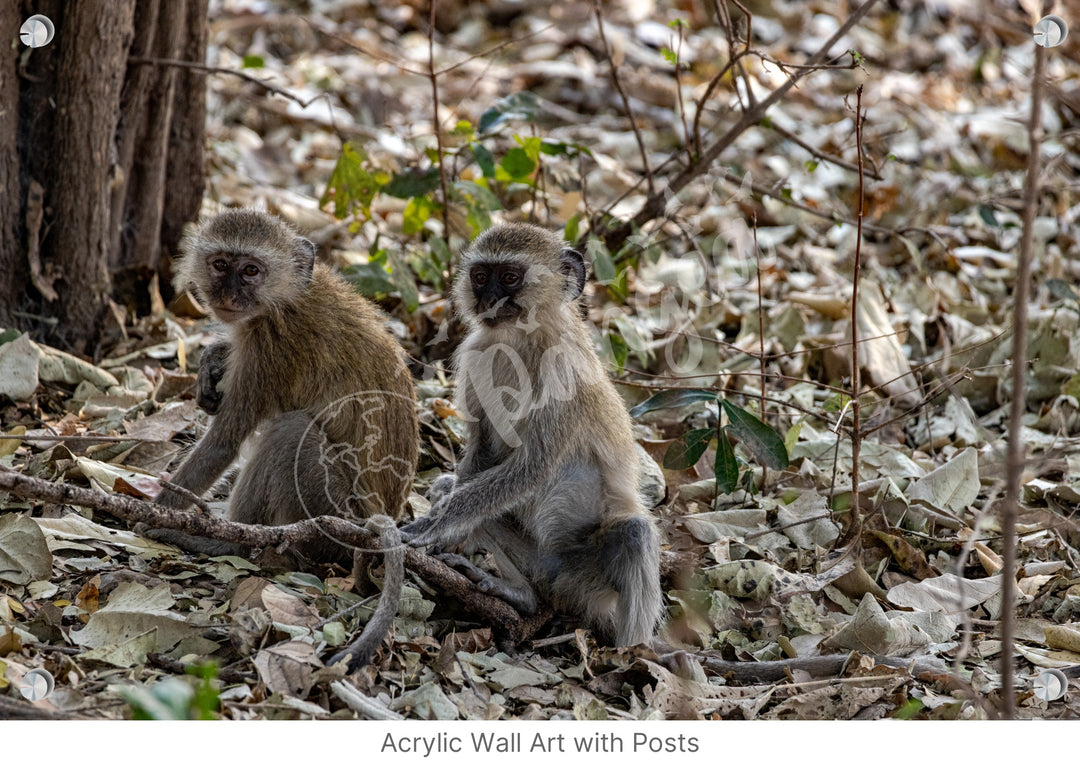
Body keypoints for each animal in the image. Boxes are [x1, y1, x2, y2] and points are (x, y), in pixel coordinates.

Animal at [151, 209, 416, 669]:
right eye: (221, 264)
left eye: (250, 271)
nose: (228, 293)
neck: (287, 296)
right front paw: (214, 360)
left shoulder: (271, 347)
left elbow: (224, 443)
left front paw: (150, 515)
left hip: (329, 509)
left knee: (289, 433)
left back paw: (226, 540)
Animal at [403, 224, 660, 647]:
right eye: (480, 277)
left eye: (509, 277)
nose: (488, 299)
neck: (520, 340)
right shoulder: (475, 355)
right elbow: (481, 456)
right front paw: (443, 533)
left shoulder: (564, 370)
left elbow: (533, 467)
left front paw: (428, 528)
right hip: (539, 561)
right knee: (454, 489)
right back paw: (519, 593)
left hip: (590, 576)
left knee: (633, 534)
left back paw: (634, 653)